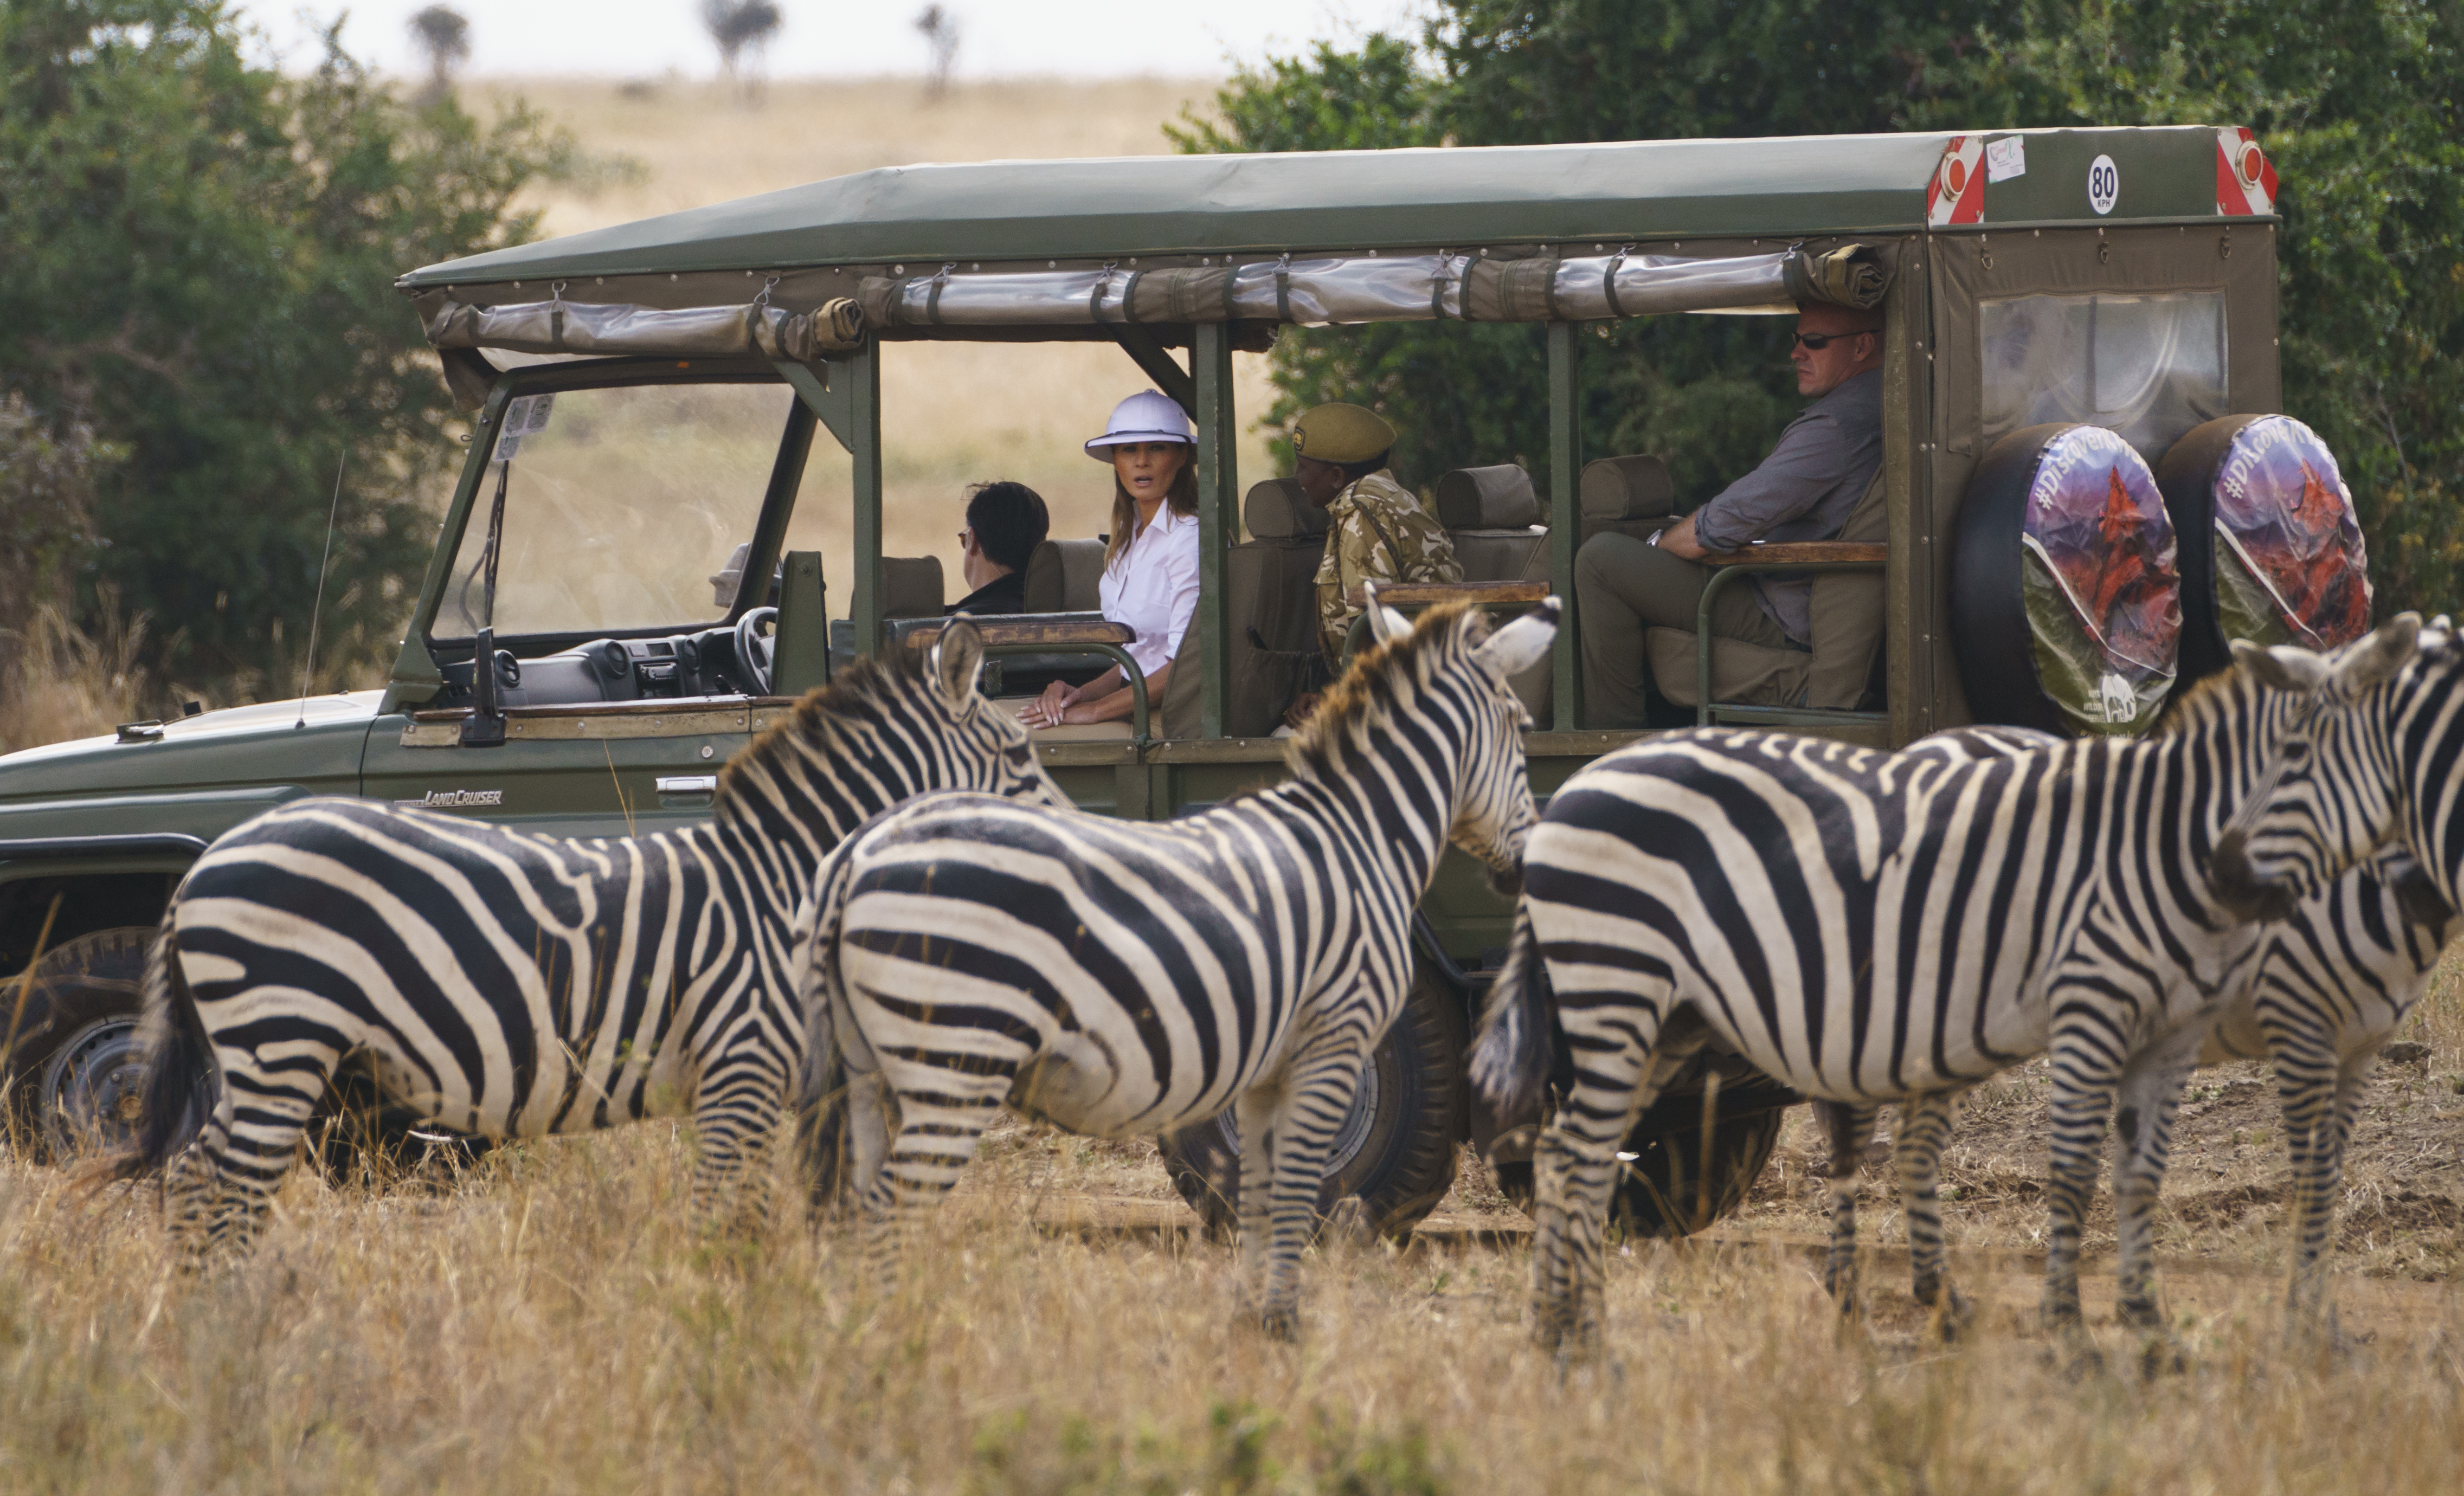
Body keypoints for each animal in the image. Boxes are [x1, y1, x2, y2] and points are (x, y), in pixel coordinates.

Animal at [111, 623, 1064, 1262]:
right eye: (1022, 757)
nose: (1080, 837)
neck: (786, 883)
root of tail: (209, 865)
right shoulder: (741, 1069)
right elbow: (722, 1227)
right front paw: (721, 1350)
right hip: (279, 1039)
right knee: (217, 1182)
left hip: (271, 1050)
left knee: (200, 1179)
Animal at [788, 596, 1557, 1331]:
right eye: (1521, 724)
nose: (1527, 865)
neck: (1359, 834)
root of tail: (853, 859)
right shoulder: (1335, 1038)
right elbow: (1297, 1191)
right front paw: (1281, 1324)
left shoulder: (1266, 1069)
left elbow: (1262, 1200)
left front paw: (1254, 1324)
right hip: (951, 1056)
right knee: (888, 1205)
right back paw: (895, 1332)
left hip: (872, 1068)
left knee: (860, 1201)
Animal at [1823, 724, 2454, 1331]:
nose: (2427, 899)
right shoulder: (2297, 1021)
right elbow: (2313, 1181)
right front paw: (2309, 1323)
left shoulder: (2359, 1049)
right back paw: (1848, 1286)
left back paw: (1921, 1291)